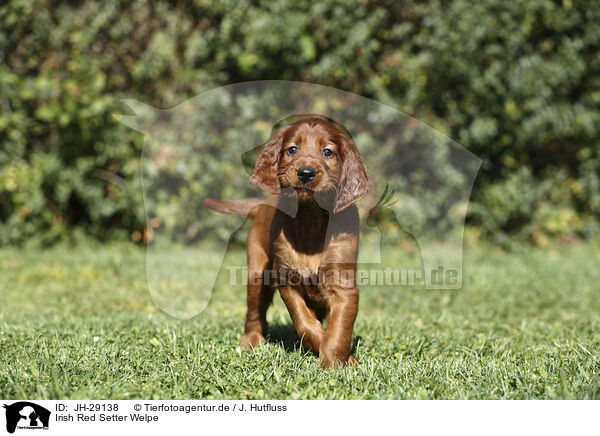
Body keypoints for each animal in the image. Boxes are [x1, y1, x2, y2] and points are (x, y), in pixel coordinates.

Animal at [204, 116, 368, 368]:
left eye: (328, 151)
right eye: (292, 149)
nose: (306, 173)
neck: (311, 219)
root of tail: (262, 206)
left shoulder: (343, 284)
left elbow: (339, 329)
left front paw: (337, 363)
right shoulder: (287, 279)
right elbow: (305, 323)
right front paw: (333, 356)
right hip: (257, 272)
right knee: (254, 312)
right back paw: (251, 342)